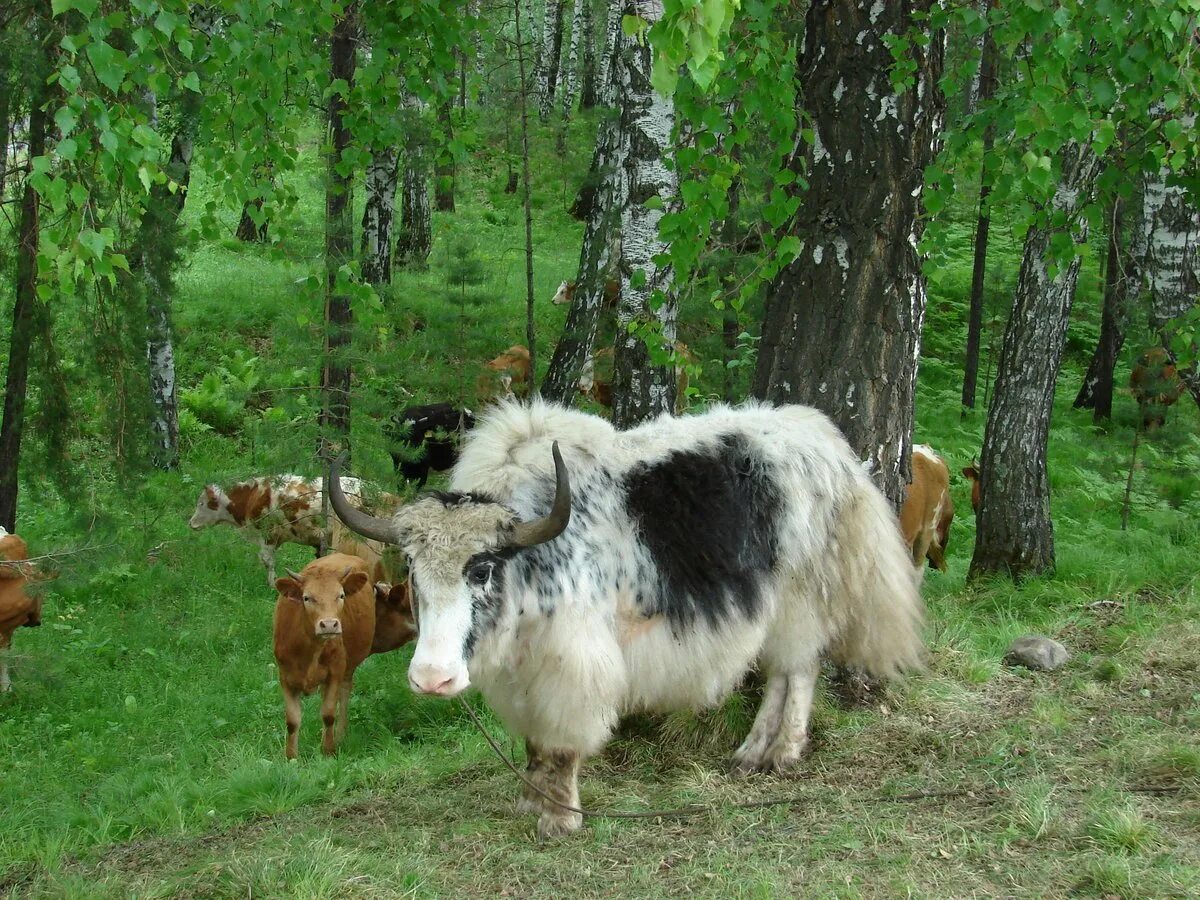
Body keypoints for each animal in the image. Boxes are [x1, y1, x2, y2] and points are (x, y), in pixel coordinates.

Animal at [274, 554, 374, 758]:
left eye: (341, 595)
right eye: (307, 598)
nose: (329, 625)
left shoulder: (335, 672)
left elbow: (328, 714)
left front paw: (328, 751)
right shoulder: (285, 677)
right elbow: (292, 720)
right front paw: (291, 757)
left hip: (348, 667)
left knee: (344, 693)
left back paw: (340, 736)